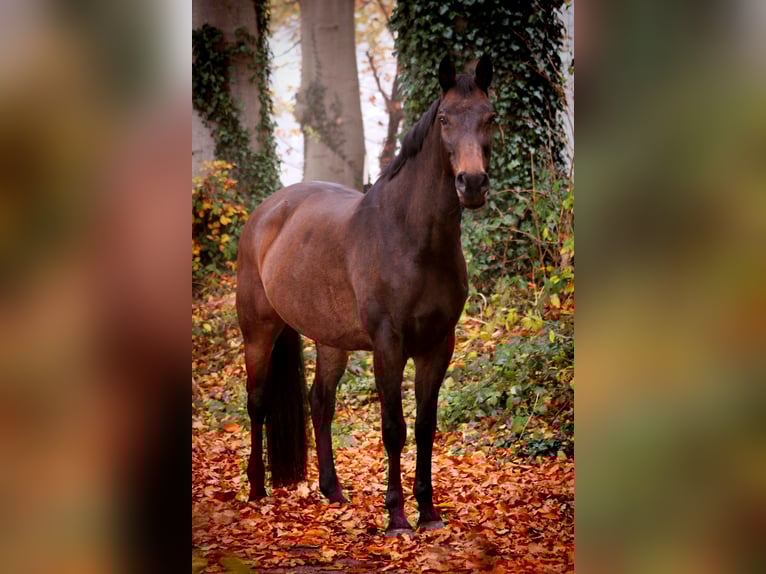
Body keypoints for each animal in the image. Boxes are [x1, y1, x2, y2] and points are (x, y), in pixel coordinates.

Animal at [236, 54, 494, 536]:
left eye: (491, 117)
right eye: (445, 119)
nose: (471, 183)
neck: (413, 239)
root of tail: (267, 211)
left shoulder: (438, 346)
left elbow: (425, 426)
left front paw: (429, 512)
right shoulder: (388, 346)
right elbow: (394, 428)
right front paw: (397, 518)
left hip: (330, 340)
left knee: (320, 403)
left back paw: (332, 491)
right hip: (258, 331)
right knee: (257, 402)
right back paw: (257, 490)